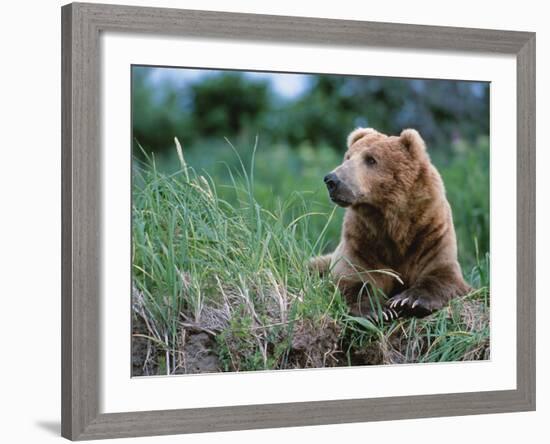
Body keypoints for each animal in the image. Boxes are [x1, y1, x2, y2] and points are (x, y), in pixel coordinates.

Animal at [312, 127, 472, 320]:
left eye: (371, 159)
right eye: (348, 157)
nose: (332, 180)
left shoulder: (430, 231)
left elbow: (442, 274)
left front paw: (409, 301)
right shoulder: (361, 239)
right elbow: (354, 278)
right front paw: (379, 311)